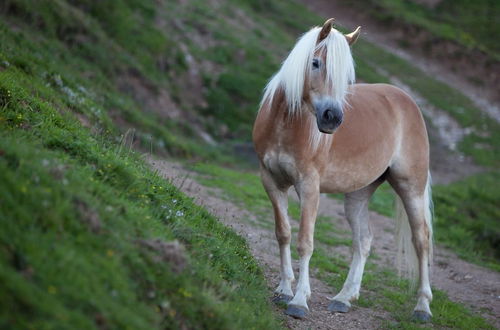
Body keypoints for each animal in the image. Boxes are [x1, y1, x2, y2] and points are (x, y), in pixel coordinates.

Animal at [254, 18, 434, 322]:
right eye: (315, 63)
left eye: (347, 77)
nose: (332, 118)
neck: (284, 125)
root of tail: (406, 100)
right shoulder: (271, 181)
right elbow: (283, 233)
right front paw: (284, 290)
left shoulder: (309, 187)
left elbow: (305, 241)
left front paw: (299, 301)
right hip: (359, 193)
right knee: (363, 241)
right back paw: (344, 298)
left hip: (411, 187)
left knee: (421, 240)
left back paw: (422, 307)